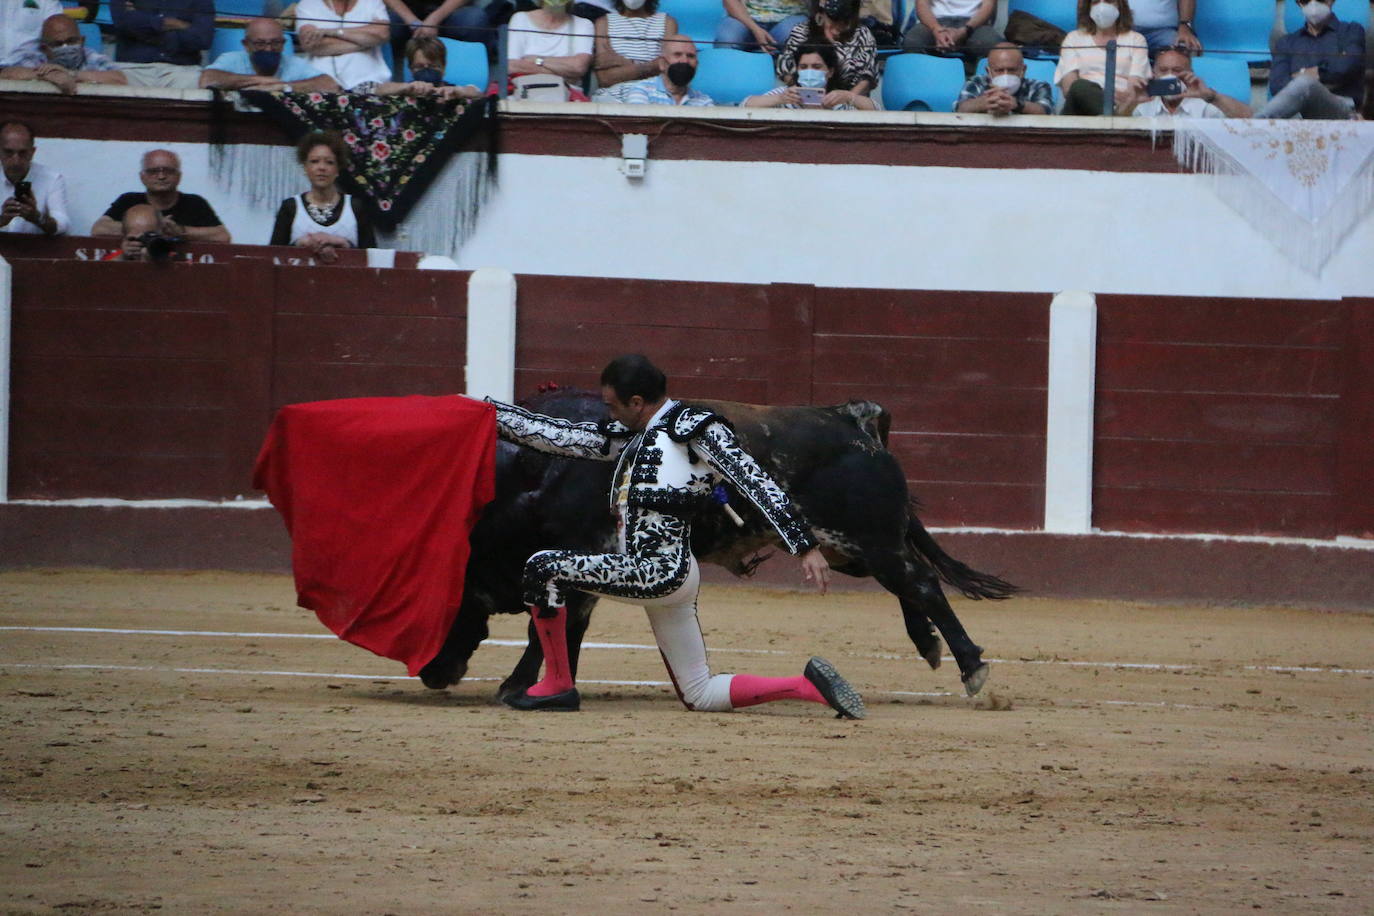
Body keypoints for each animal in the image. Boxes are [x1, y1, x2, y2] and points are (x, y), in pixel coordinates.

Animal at [423, 387, 1016, 703]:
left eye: (449, 598)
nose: (431, 672)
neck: (536, 477)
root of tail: (854, 419)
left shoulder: (582, 556)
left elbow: (547, 626)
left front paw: (516, 686)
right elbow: (561, 627)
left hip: (867, 540)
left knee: (922, 582)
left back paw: (971, 667)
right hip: (855, 550)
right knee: (910, 584)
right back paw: (930, 646)